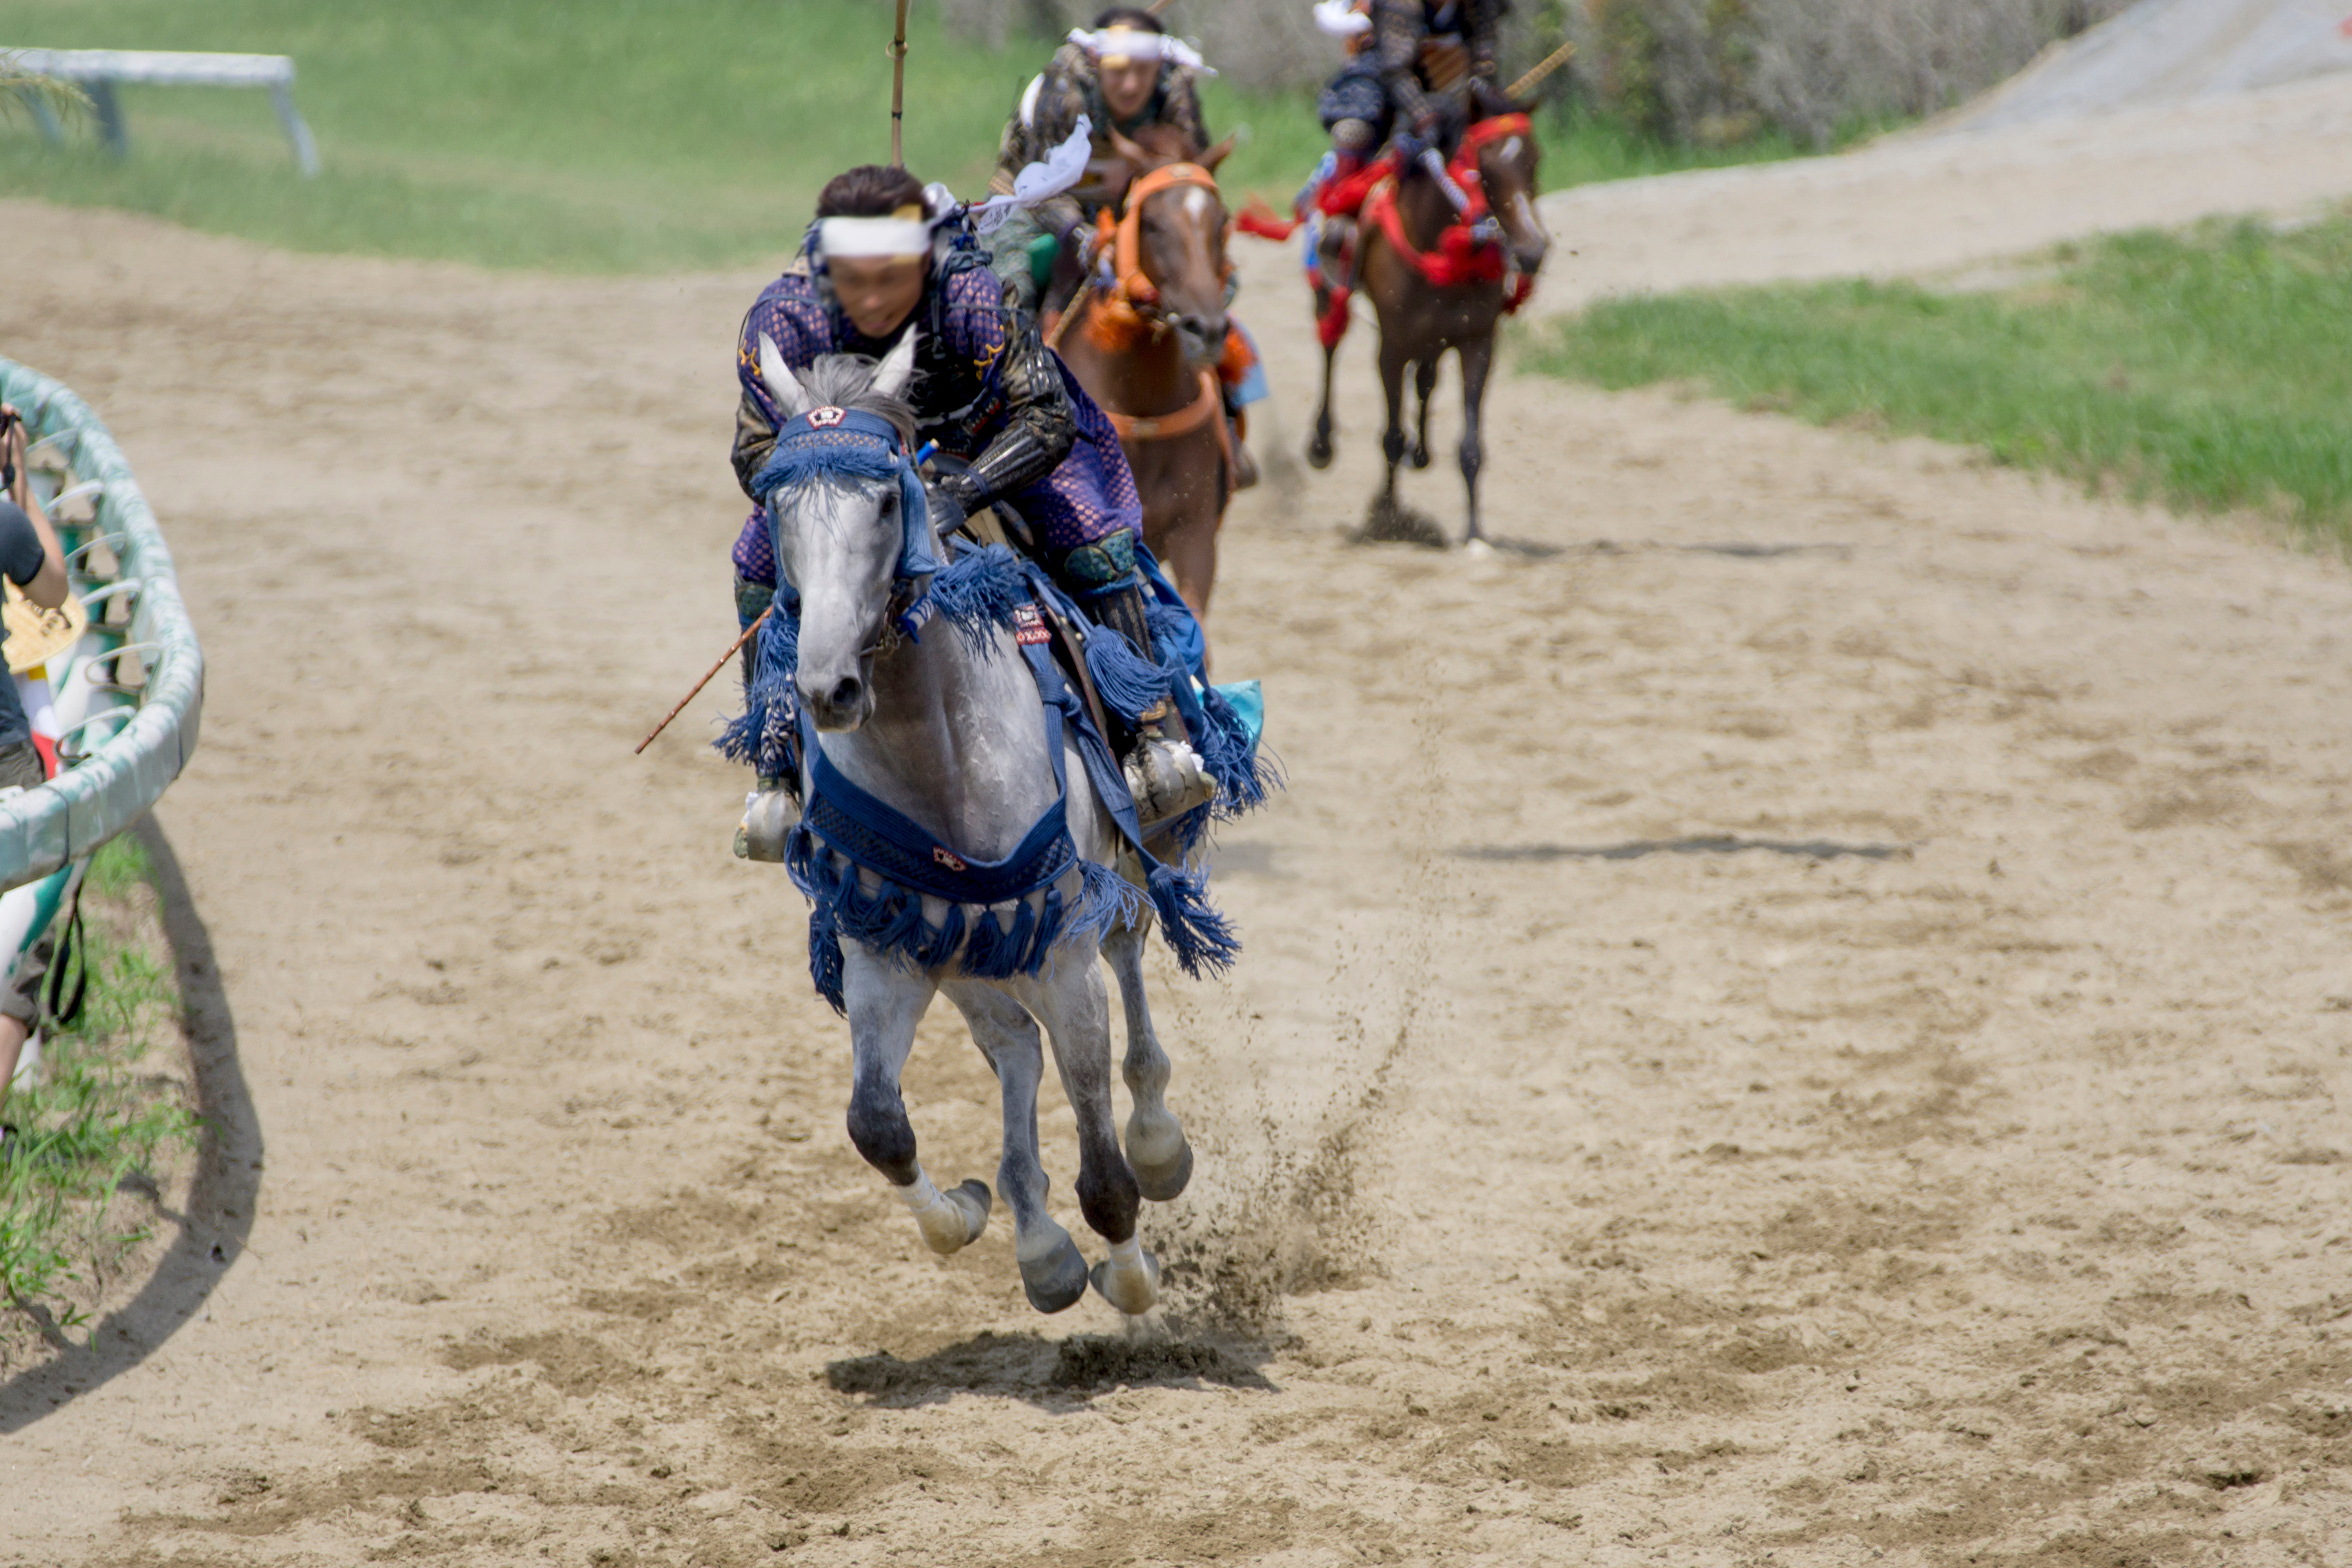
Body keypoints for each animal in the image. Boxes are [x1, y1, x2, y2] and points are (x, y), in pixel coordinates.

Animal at [753, 338, 1195, 1316]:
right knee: (1014, 1047)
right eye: (777, 505)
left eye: (888, 499)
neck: (942, 759)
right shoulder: (886, 949)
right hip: (966, 953)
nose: (827, 687)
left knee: (1129, 972)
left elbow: (1105, 1170)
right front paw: (963, 1211)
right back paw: (1040, 1245)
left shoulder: (1063, 951)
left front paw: (1132, 1275)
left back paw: (1157, 1140)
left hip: (1115, 885)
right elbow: (877, 1124)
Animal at [1308, 113, 1543, 550]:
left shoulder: (1478, 343)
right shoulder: (1391, 348)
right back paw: (1322, 443)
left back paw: (1422, 455)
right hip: (1330, 287)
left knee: (1427, 377)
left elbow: (1470, 445)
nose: (1532, 250)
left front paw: (1475, 533)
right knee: (1331, 346)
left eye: (1536, 162)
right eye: (1483, 171)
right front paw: (1389, 518)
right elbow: (1391, 436)